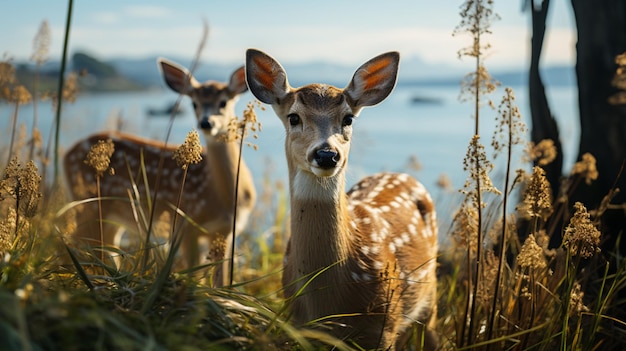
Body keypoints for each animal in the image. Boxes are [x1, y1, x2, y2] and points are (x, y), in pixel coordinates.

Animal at [64, 58, 256, 288]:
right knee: (81, 241)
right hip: (88, 203)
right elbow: (192, 271)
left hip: (109, 213)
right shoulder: (185, 223)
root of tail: (66, 154)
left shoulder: (226, 231)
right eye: (194, 103)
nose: (206, 122)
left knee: (104, 246)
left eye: (224, 102)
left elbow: (222, 279)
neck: (221, 196)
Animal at [245, 48, 438, 350]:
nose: (326, 154)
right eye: (293, 117)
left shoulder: (385, 325)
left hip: (430, 296)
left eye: (348, 119)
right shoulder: (298, 326)